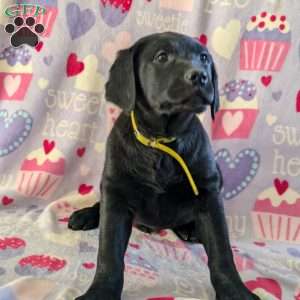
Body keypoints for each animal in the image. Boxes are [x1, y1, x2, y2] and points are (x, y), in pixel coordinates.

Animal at [68, 31, 260, 298]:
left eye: (204, 58)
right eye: (162, 57)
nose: (200, 75)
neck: (161, 142)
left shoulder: (209, 193)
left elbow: (222, 253)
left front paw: (235, 290)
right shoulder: (115, 192)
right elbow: (109, 254)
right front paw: (101, 291)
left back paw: (189, 229)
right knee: (101, 203)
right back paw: (86, 214)